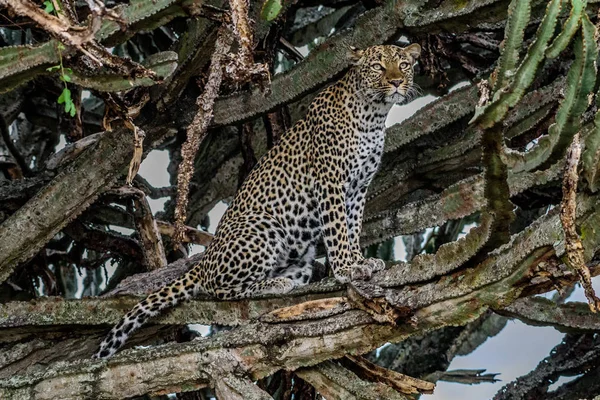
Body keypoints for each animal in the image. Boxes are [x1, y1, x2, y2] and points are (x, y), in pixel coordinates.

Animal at [95, 43, 422, 360]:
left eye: (403, 65)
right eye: (378, 66)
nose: (396, 81)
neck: (373, 115)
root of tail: (204, 261)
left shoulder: (358, 188)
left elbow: (352, 228)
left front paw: (361, 261)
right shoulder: (330, 182)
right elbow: (338, 230)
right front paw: (347, 268)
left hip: (298, 259)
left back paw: (283, 281)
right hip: (262, 227)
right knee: (216, 289)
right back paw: (272, 284)